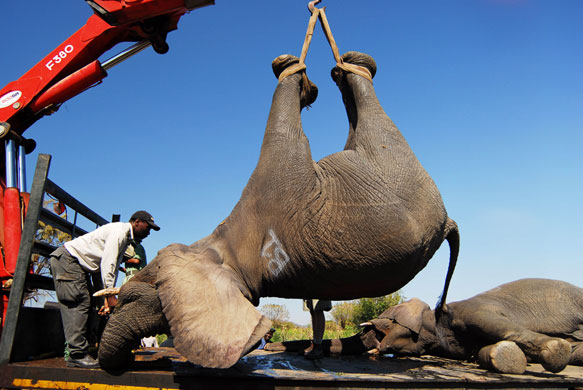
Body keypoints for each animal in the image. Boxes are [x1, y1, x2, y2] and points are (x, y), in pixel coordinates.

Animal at [97, 51, 460, 368]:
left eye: (130, 298)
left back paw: (350, 66)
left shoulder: (276, 177)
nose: (143, 360)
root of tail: (448, 222)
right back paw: (344, 69)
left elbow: (281, 127)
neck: (220, 244)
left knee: (370, 113)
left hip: (391, 159)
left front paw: (292, 72)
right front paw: (303, 83)